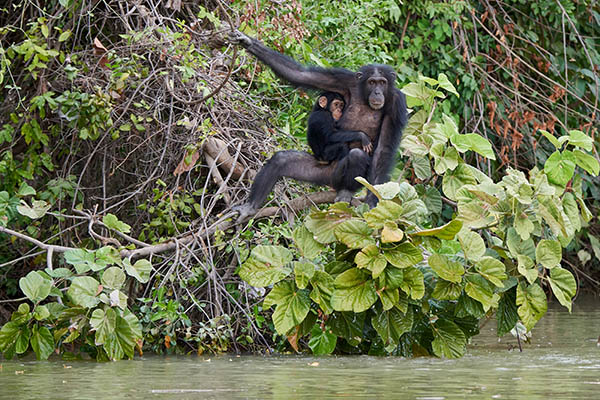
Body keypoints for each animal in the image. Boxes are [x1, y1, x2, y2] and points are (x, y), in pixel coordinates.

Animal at [230, 30, 408, 222]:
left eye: (382, 82)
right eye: (372, 82)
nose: (377, 92)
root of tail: (331, 183)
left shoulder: (397, 104)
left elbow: (383, 149)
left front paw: (372, 201)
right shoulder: (344, 80)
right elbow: (301, 75)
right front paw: (247, 42)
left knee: (357, 155)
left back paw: (346, 191)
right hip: (322, 172)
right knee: (281, 160)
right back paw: (250, 207)